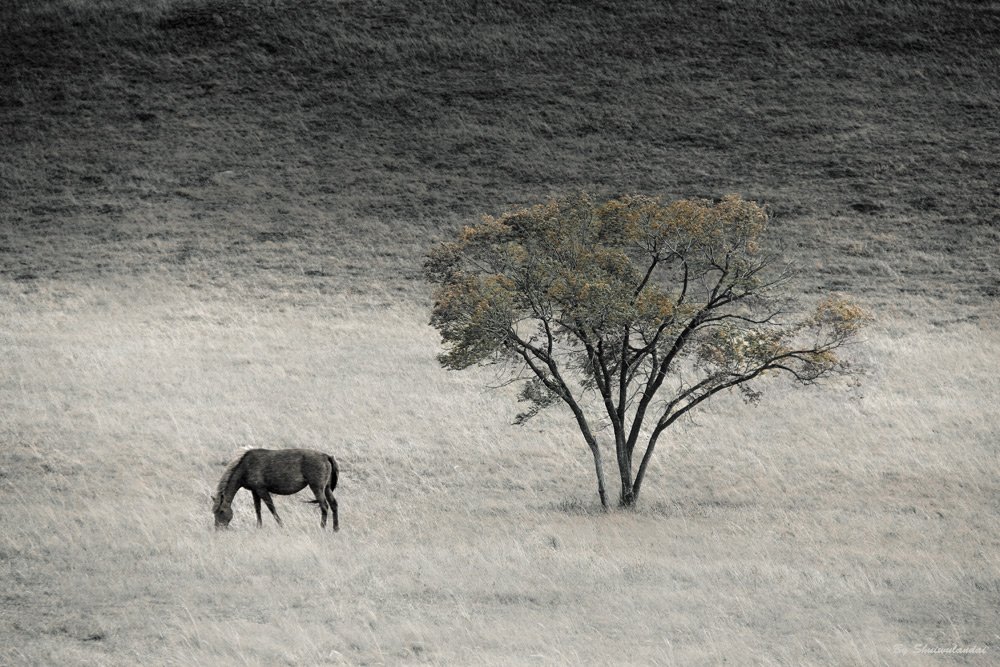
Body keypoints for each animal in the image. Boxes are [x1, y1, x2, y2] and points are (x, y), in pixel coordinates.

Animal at [211, 448, 340, 532]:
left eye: (221, 511)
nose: (218, 529)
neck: (246, 466)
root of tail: (326, 456)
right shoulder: (255, 491)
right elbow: (257, 509)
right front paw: (259, 526)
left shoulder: (262, 490)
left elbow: (271, 508)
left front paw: (281, 525)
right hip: (326, 488)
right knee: (333, 504)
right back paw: (335, 529)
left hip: (317, 487)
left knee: (324, 506)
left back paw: (322, 528)